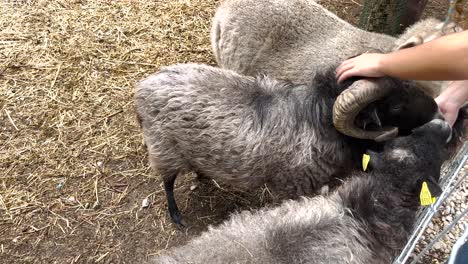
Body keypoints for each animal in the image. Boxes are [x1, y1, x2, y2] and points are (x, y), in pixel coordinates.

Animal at [133, 63, 444, 226]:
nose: (438, 112)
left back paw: (203, 176)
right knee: (167, 183)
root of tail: (143, 88)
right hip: (163, 150)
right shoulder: (293, 185)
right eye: (396, 106)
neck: (317, 118)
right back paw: (176, 216)